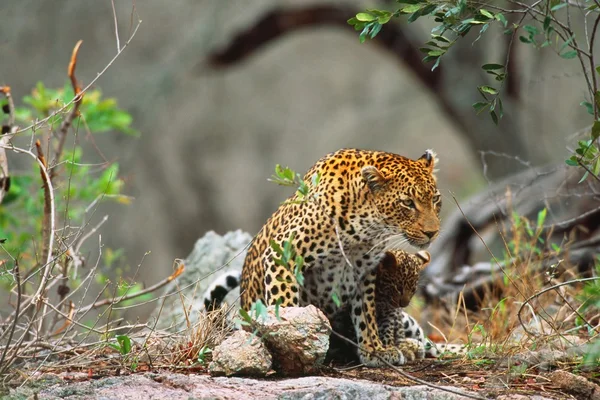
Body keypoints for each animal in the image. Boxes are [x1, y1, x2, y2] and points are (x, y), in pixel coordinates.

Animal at [237, 148, 442, 366]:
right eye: (408, 203)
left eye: (435, 200)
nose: (432, 232)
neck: (366, 228)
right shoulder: (283, 254)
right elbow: (284, 303)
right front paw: (285, 338)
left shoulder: (364, 272)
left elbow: (366, 313)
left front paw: (374, 349)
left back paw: (408, 346)